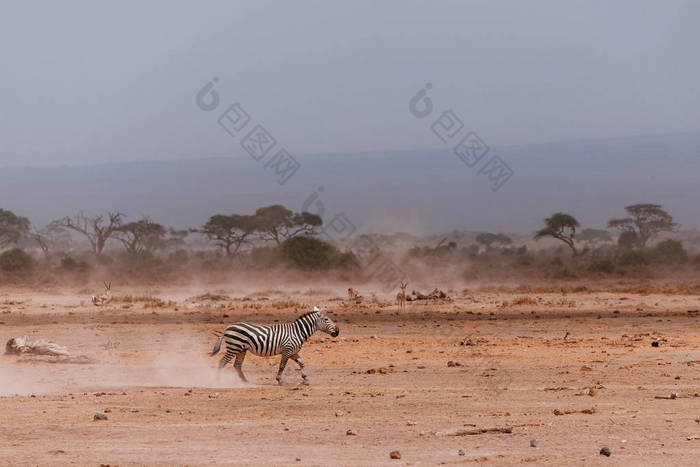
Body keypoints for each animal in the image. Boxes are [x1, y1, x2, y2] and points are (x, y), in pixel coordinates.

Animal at [212, 306, 340, 386]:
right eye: (326, 319)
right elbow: (282, 366)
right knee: (222, 362)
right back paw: (218, 381)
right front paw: (279, 381)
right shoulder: (287, 350)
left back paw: (245, 381)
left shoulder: (293, 352)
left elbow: (302, 363)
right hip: (234, 347)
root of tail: (227, 328)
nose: (338, 332)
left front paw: (305, 379)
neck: (298, 332)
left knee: (237, 365)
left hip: (241, 349)